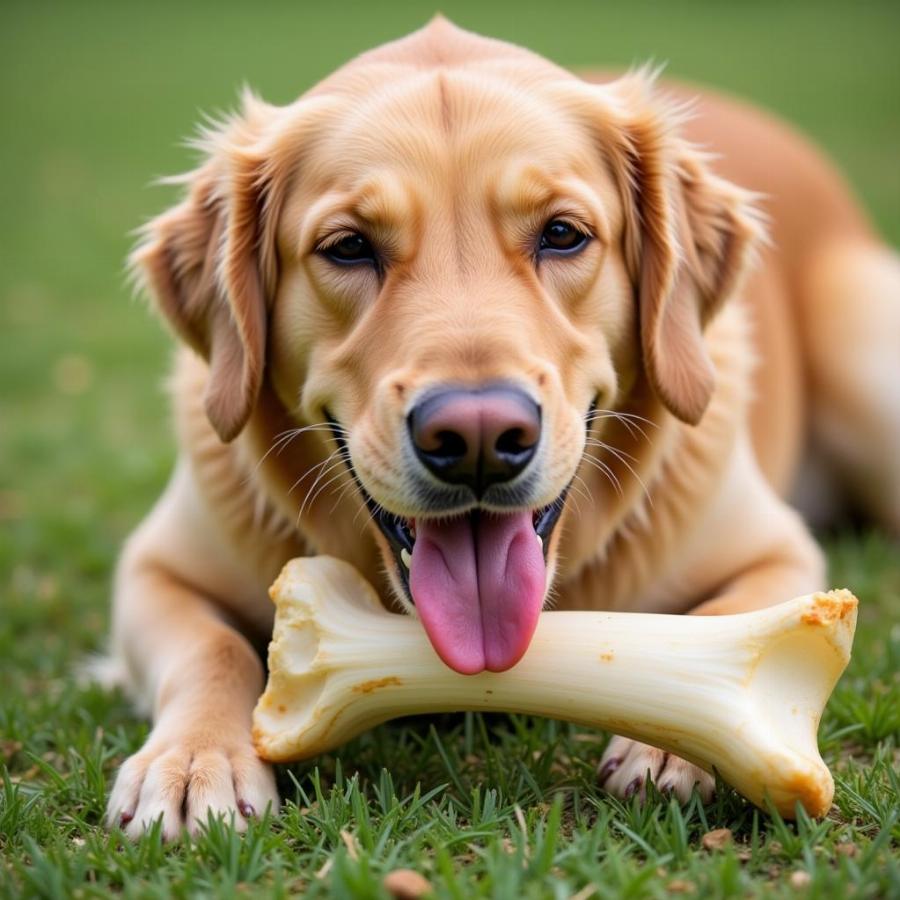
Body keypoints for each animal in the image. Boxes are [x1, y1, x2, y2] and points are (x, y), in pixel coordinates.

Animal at [105, 17, 900, 836]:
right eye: (348, 246)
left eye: (562, 234)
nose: (479, 439)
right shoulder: (154, 567)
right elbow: (214, 649)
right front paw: (195, 760)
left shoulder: (779, 549)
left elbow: (735, 610)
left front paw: (676, 744)